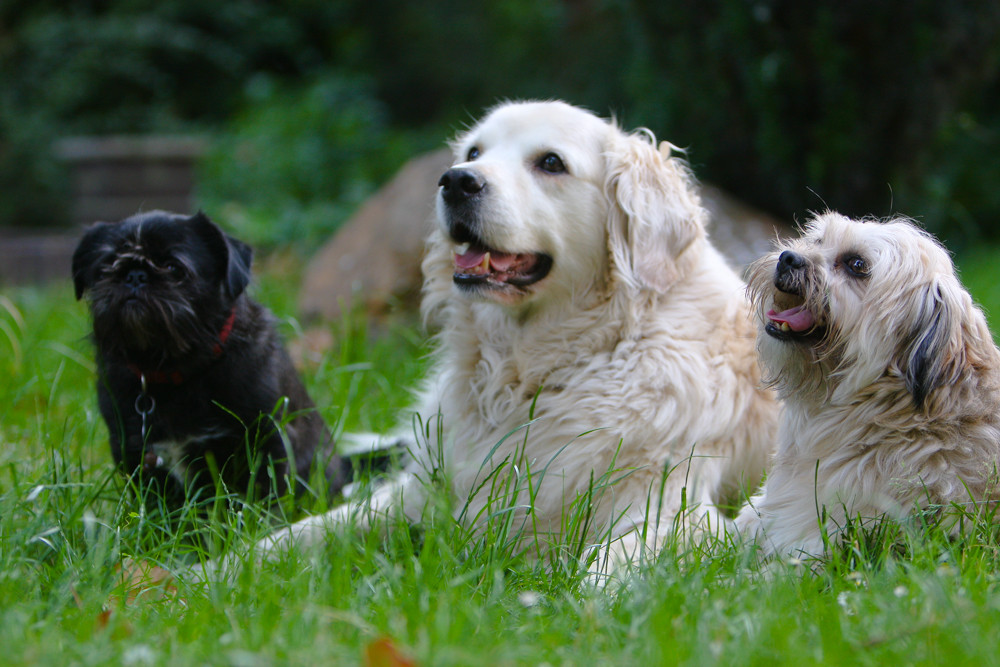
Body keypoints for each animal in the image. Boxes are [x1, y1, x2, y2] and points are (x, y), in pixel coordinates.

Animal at [72, 213, 352, 512]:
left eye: (174, 267)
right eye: (105, 267)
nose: (135, 275)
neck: (173, 371)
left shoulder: (266, 438)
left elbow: (264, 494)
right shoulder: (132, 450)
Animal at [217, 100, 780, 580]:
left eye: (551, 162)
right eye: (473, 153)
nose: (455, 182)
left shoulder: (676, 511)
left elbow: (601, 572)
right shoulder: (423, 492)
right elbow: (297, 535)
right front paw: (209, 574)